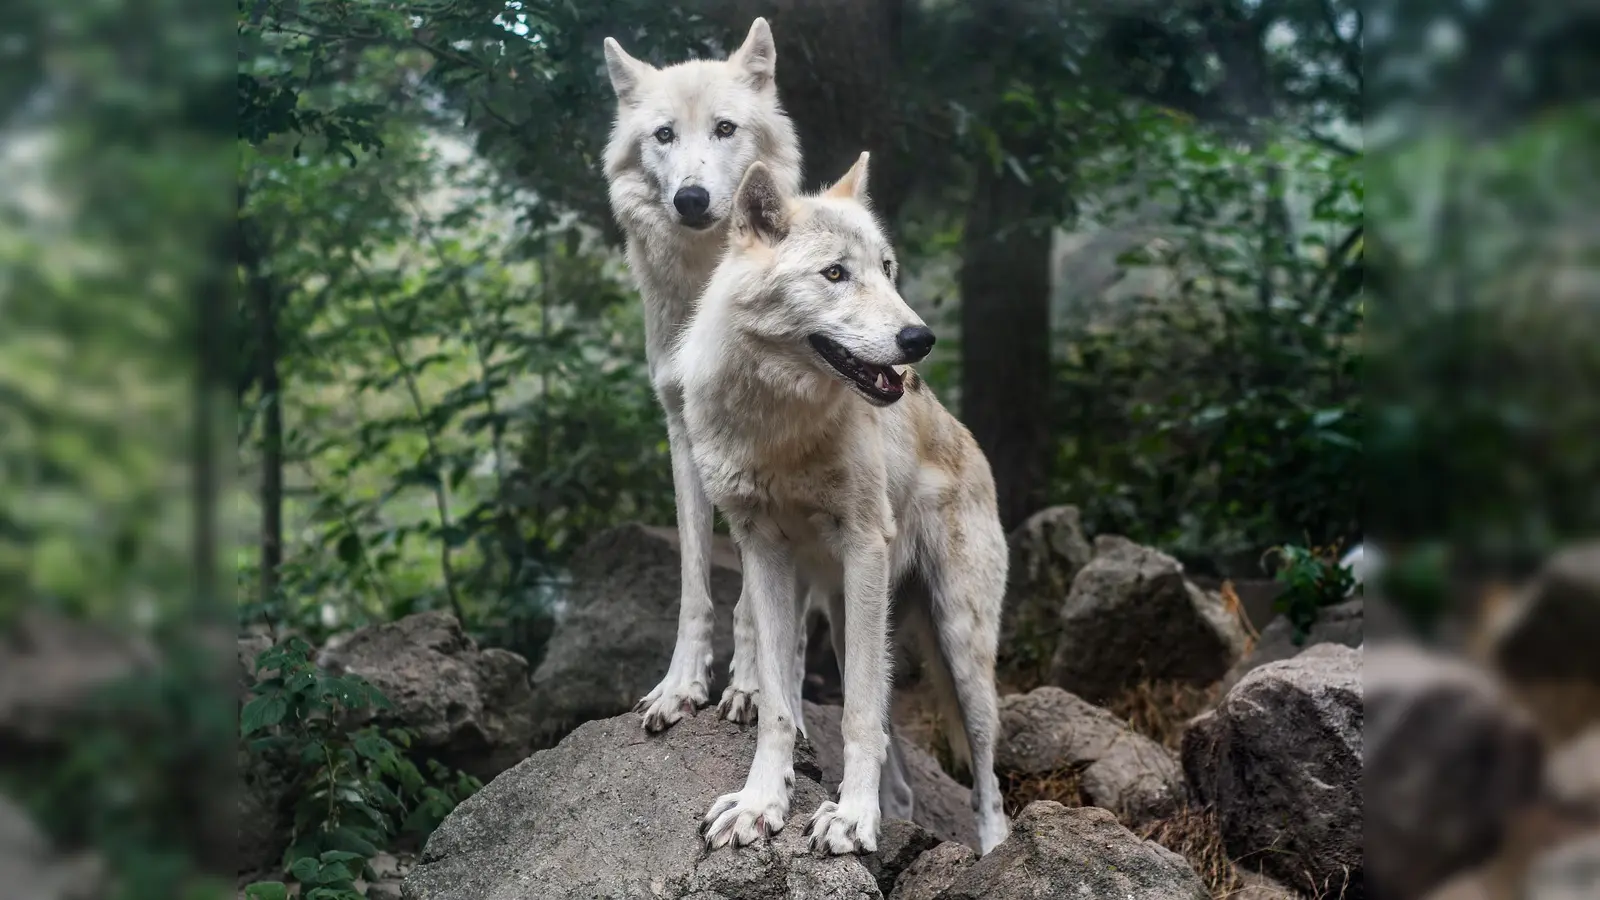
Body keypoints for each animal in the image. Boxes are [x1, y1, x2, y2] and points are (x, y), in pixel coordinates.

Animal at [665, 156, 1011, 851]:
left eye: (887, 268)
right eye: (834, 274)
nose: (920, 338)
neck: (780, 428)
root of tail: (967, 440)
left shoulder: (863, 544)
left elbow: (855, 720)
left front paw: (851, 818)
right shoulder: (761, 550)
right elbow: (776, 701)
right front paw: (761, 804)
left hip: (960, 650)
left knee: (986, 783)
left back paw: (994, 851)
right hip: (855, 618)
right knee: (899, 769)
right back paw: (893, 810)